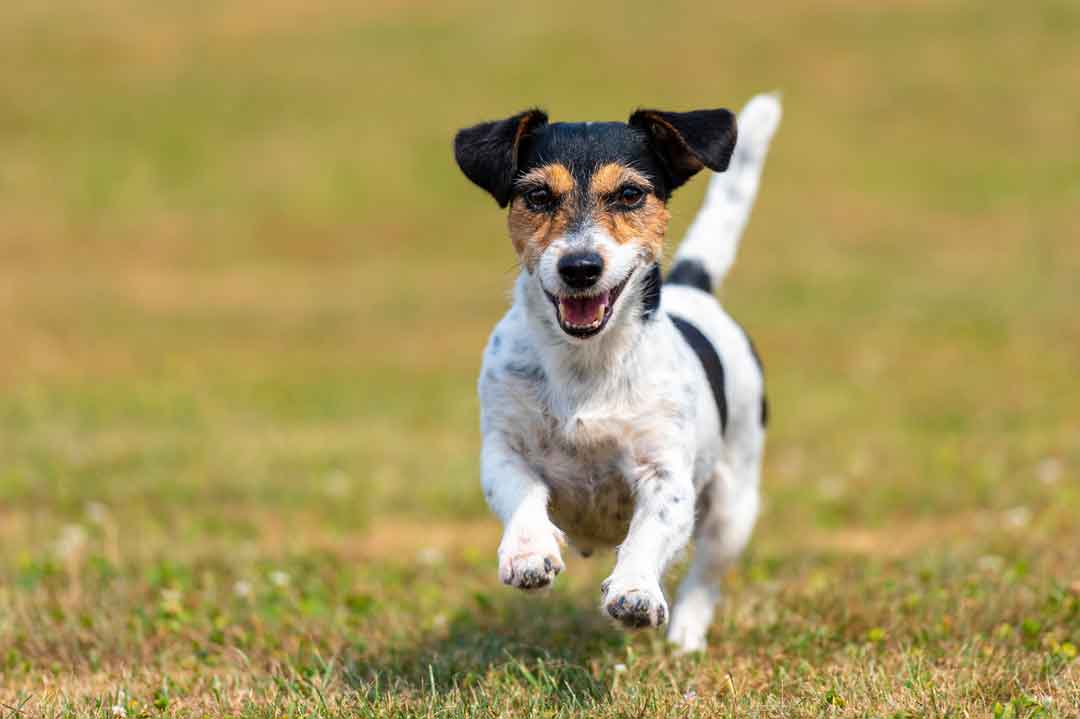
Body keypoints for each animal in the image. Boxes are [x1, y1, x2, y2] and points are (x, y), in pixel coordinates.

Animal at [451, 92, 781, 647]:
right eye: (537, 195)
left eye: (629, 194)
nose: (580, 267)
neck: (586, 364)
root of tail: (693, 285)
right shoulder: (503, 450)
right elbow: (521, 495)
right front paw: (528, 552)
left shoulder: (665, 474)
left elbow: (649, 533)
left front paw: (636, 590)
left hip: (734, 508)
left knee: (705, 576)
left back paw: (686, 638)